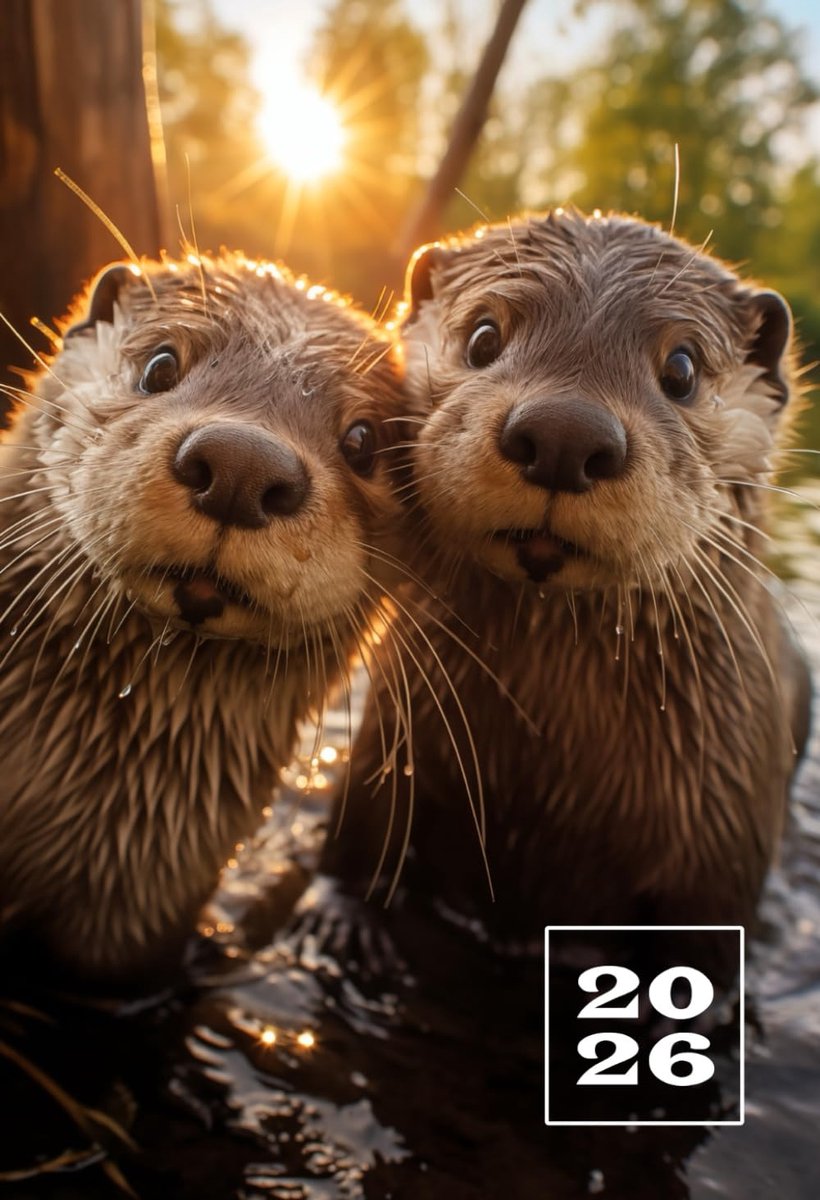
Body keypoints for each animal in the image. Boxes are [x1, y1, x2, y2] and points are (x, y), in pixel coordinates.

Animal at [311, 210, 812, 973]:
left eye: (682, 368)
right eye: (484, 336)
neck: (552, 780)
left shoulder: (722, 855)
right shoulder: (389, 749)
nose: (563, 434)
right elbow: (354, 841)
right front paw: (342, 923)